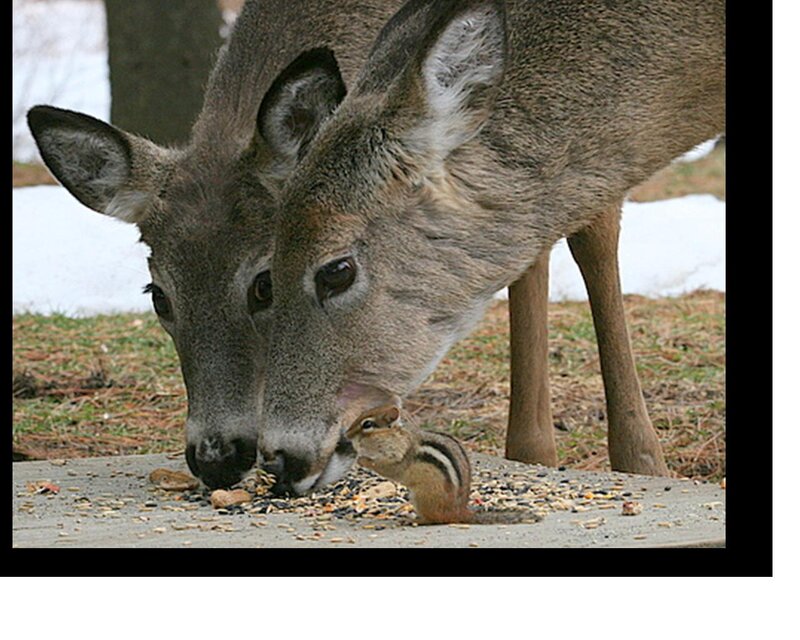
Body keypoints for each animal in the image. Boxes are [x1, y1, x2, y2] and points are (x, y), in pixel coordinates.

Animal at [25, 0, 724, 495]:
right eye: (158, 295)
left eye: (262, 283)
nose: (219, 457)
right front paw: (533, 453)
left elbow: (586, 228)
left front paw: (639, 461)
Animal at [346, 404, 541, 526]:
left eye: (367, 424)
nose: (347, 435)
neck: (398, 435)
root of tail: (458, 512)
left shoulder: (399, 458)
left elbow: (388, 468)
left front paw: (361, 459)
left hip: (421, 497)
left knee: (434, 519)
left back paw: (414, 520)